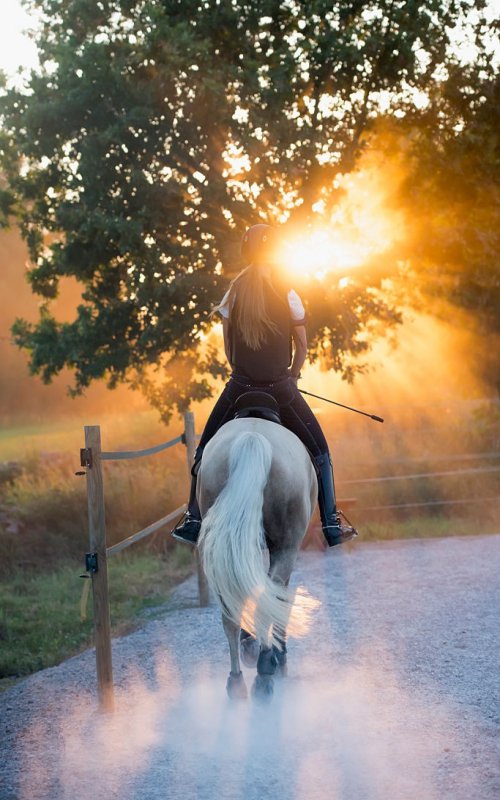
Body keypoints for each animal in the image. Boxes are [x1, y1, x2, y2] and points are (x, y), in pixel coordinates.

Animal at [197, 405, 320, 701]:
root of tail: (252, 439)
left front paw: (250, 643)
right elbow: (279, 599)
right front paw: (275, 654)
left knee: (230, 611)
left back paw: (236, 682)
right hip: (286, 546)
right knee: (268, 597)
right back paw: (265, 670)